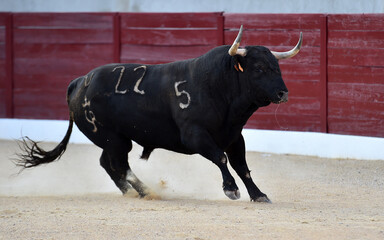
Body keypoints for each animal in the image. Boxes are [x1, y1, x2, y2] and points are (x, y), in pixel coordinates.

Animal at [15, 26, 304, 202]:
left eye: (276, 66)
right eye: (258, 68)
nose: (283, 93)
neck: (218, 86)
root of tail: (79, 81)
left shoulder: (234, 136)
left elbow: (242, 167)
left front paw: (259, 195)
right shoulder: (195, 135)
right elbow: (221, 159)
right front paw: (231, 190)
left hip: (114, 140)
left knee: (108, 164)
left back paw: (135, 193)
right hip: (113, 138)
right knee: (119, 164)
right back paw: (147, 191)